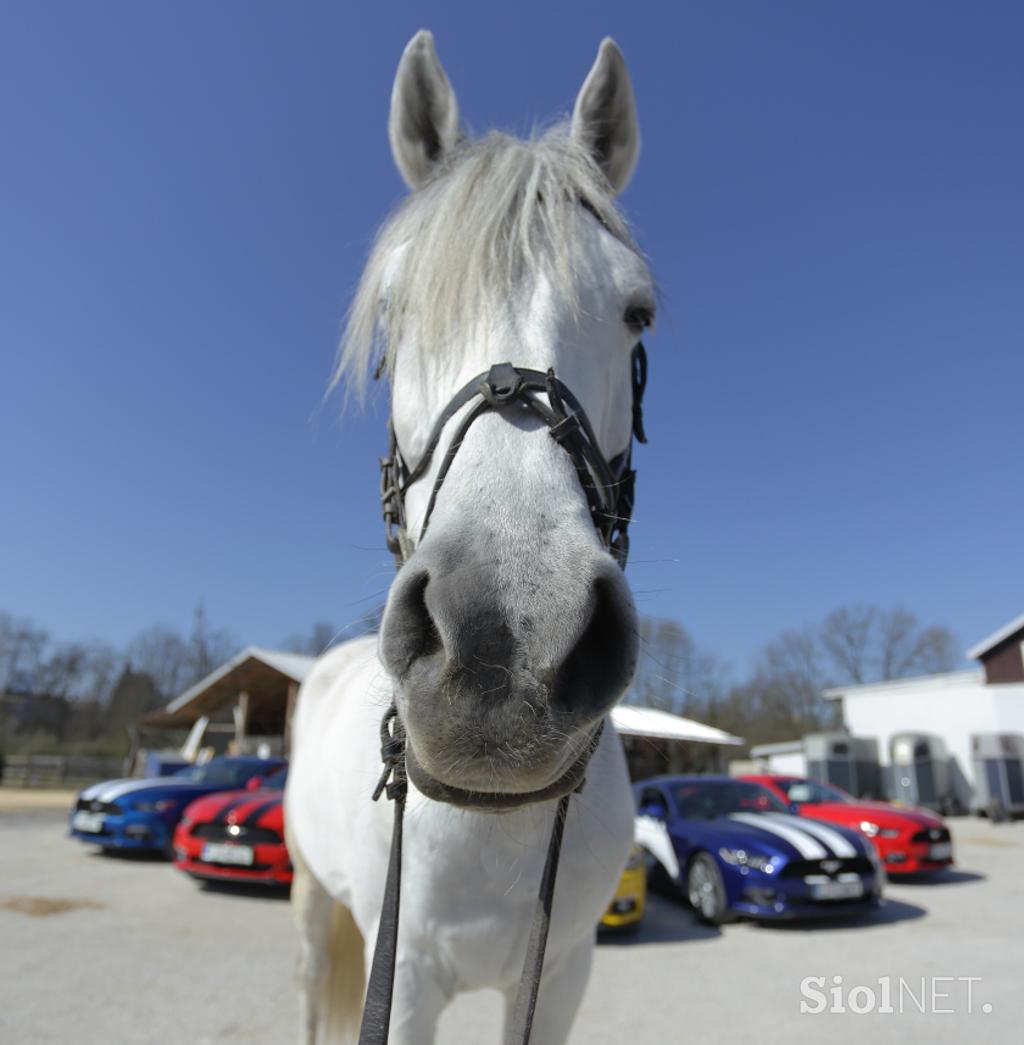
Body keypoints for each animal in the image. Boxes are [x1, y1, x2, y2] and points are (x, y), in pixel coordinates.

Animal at [286, 32, 656, 1045]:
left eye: (637, 312)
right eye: (392, 311)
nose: (505, 653)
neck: (495, 821)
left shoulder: (563, 971)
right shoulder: (406, 976)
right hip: (313, 903)